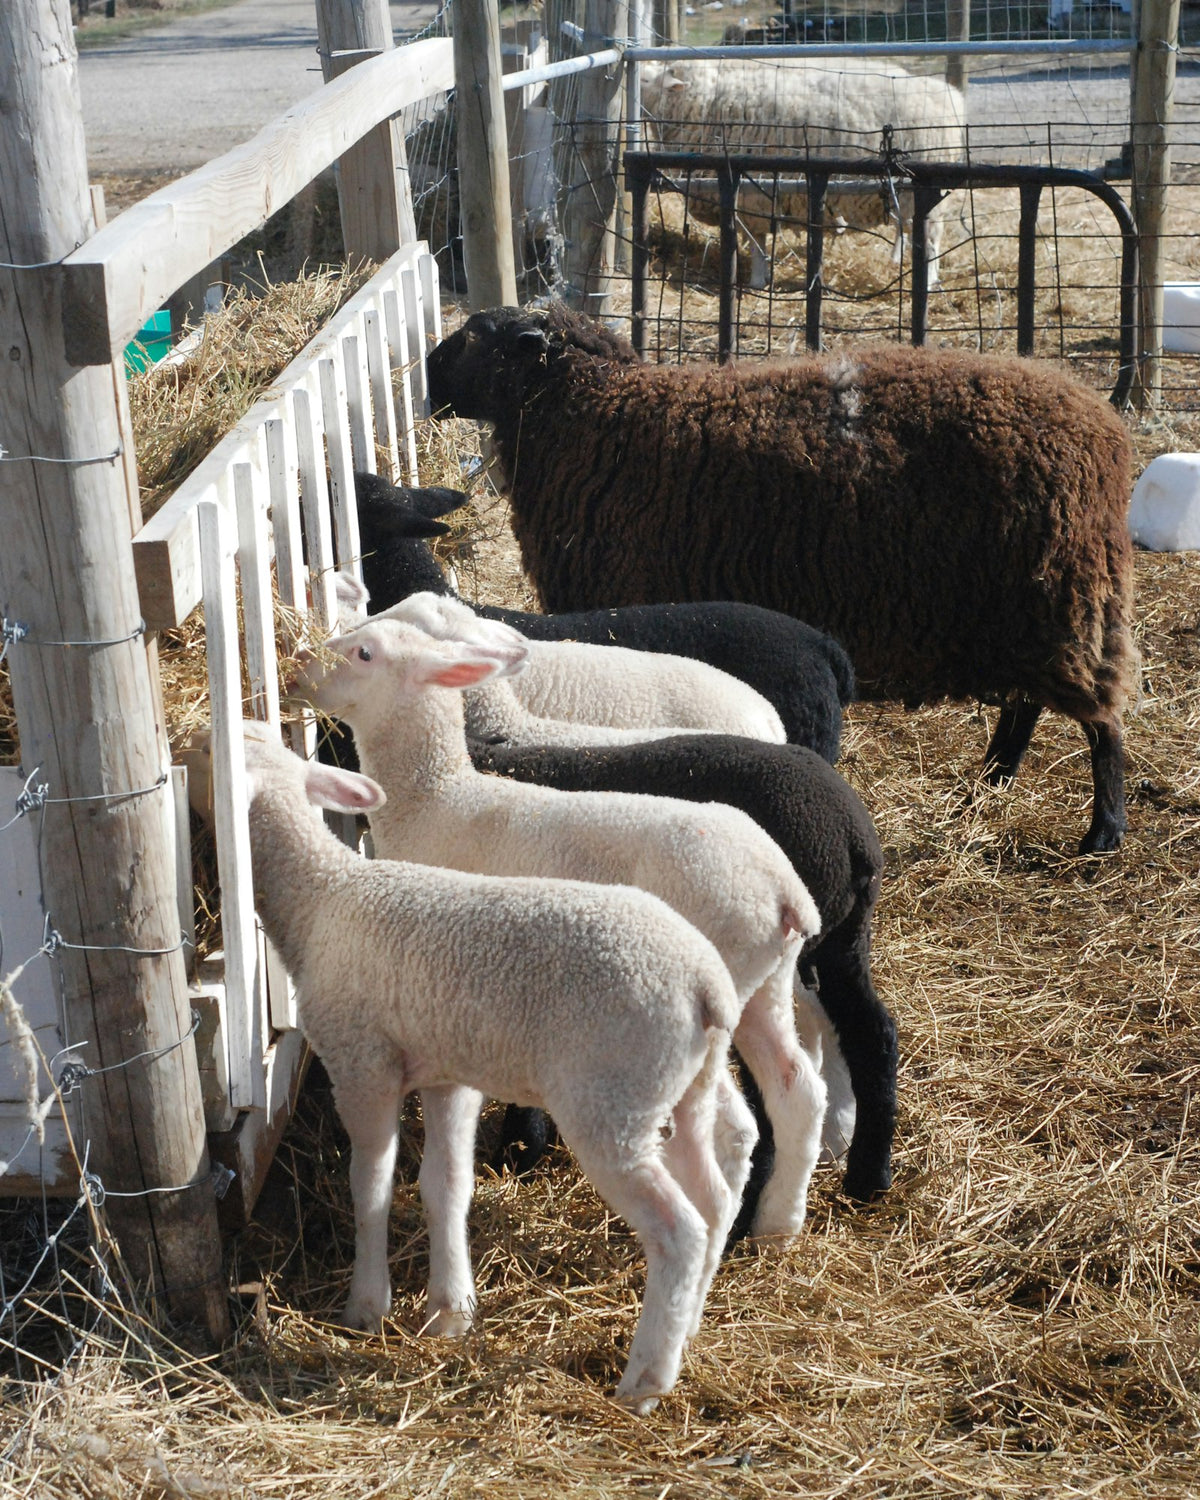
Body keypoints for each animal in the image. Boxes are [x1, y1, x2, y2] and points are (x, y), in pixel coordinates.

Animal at [197, 720, 756, 1412]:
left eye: (206, 755)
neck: (323, 897)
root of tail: (707, 986)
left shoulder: (361, 1063)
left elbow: (371, 1184)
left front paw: (366, 1306)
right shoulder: (446, 1073)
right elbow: (446, 1185)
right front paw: (450, 1311)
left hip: (612, 1101)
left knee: (679, 1231)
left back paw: (644, 1381)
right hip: (682, 1089)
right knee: (713, 1199)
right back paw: (689, 1329)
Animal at [296, 615, 830, 1239]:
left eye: (364, 652)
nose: (298, 666)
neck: (438, 797)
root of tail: (786, 892)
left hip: (719, 981)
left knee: (735, 1120)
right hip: (766, 981)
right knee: (797, 1090)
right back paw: (778, 1224)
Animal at [425, 305, 1139, 854]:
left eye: (476, 335)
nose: (427, 381)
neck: (592, 413)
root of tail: (1102, 429)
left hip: (1062, 597)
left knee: (1099, 721)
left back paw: (1101, 833)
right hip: (1022, 611)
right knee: (1026, 705)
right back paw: (988, 784)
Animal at [471, 733, 894, 1220]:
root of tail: (853, 836)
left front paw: (519, 1150)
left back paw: (750, 1212)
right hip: (843, 944)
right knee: (872, 1035)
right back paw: (866, 1180)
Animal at [639, 56, 967, 289]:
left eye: (644, 79)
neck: (705, 102)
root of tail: (950, 96)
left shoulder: (752, 196)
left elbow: (757, 243)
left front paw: (757, 281)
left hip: (922, 191)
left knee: (932, 241)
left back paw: (929, 280)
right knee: (910, 231)